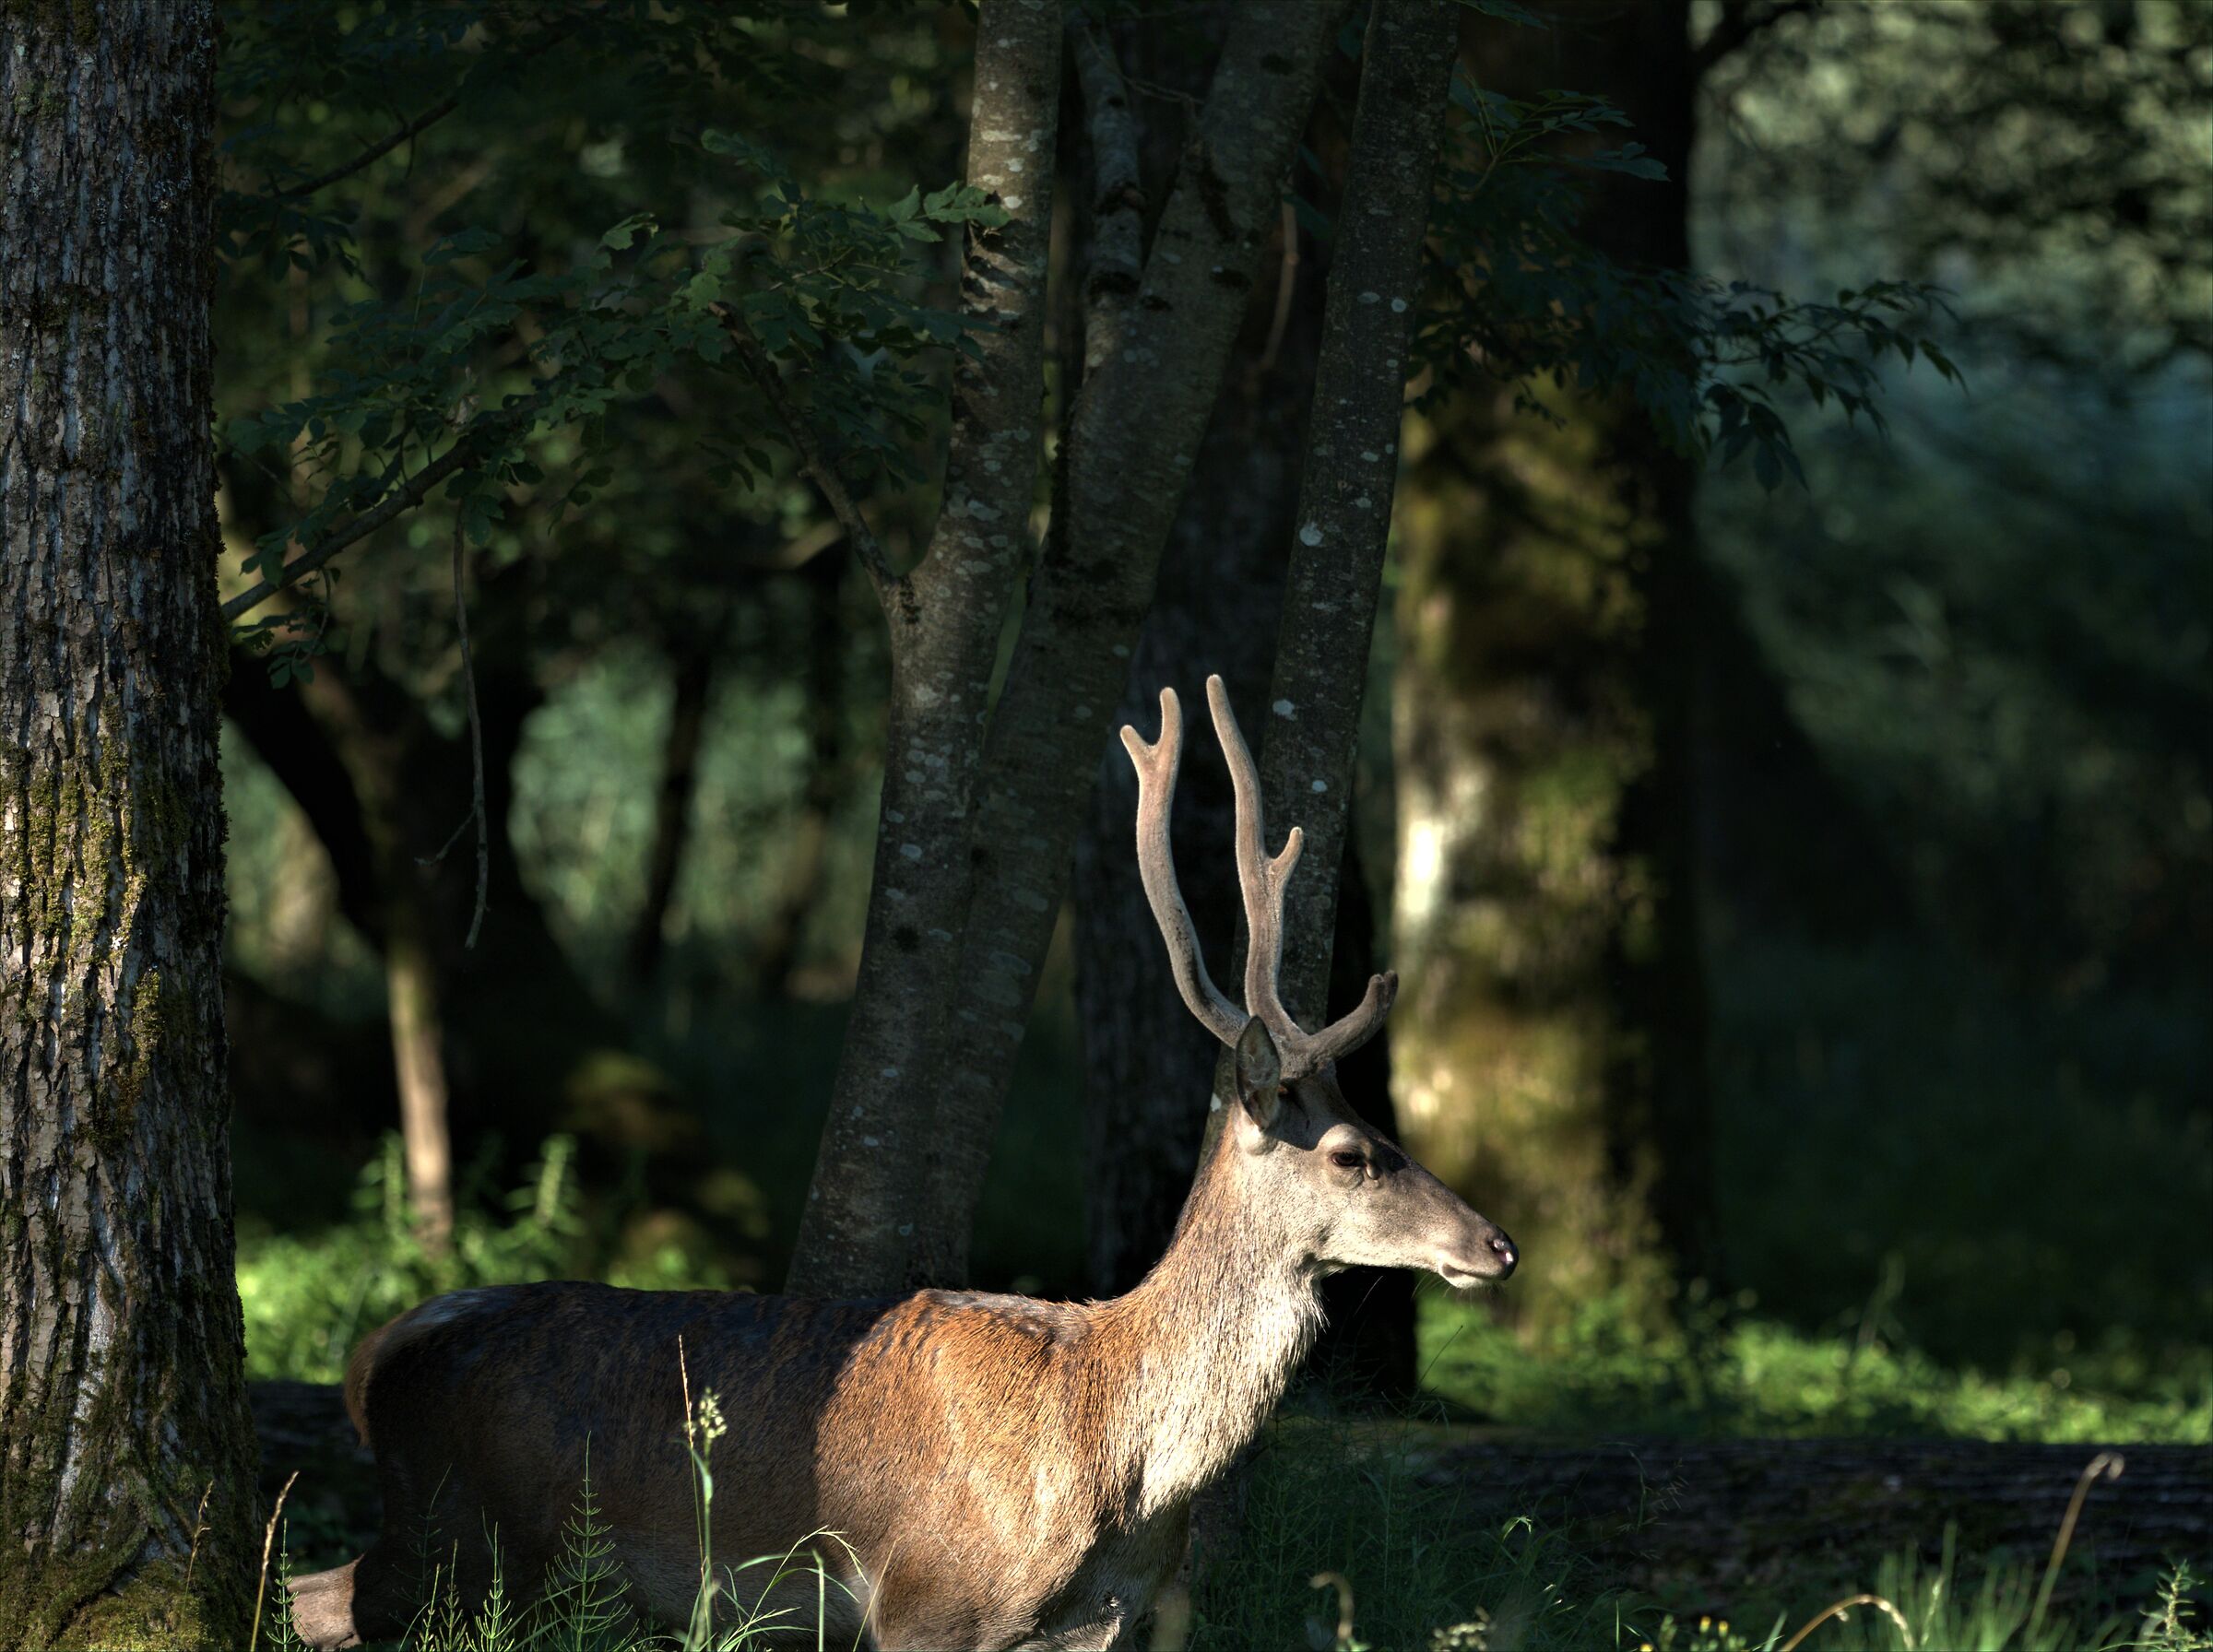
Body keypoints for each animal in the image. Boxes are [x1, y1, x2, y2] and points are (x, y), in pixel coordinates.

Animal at [288, 675, 1517, 1652]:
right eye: (1356, 1151)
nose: (1497, 1245)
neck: (1110, 1458)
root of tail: (373, 1353)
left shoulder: (1107, 1625)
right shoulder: (925, 1601)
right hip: (449, 1534)